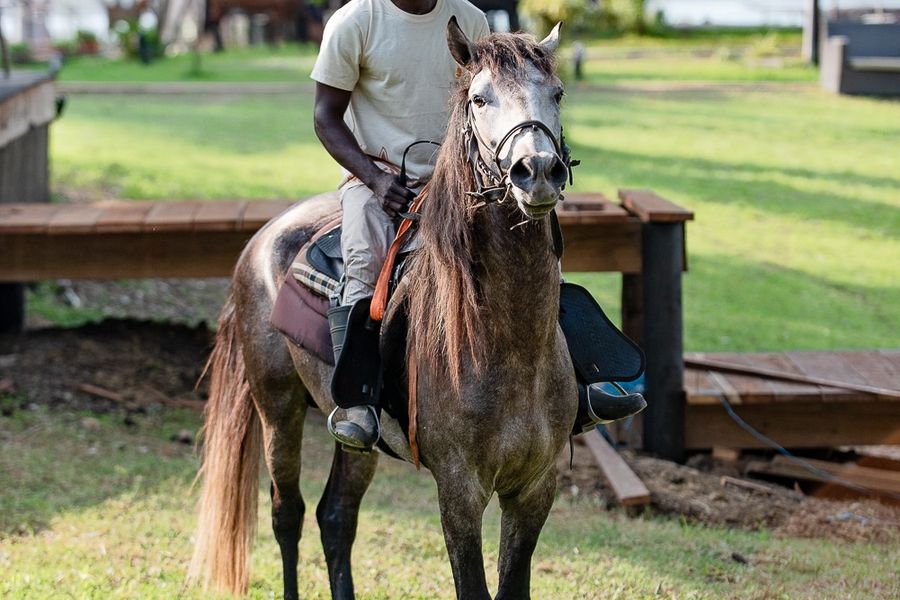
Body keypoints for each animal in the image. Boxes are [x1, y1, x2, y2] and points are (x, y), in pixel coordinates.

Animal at [188, 19, 575, 600]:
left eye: (557, 94)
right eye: (479, 99)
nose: (540, 170)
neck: (507, 347)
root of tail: (263, 236)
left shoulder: (535, 489)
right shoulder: (459, 491)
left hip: (353, 438)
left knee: (335, 516)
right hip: (276, 407)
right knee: (287, 514)